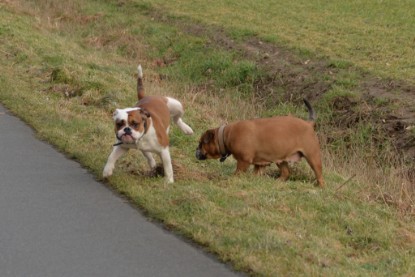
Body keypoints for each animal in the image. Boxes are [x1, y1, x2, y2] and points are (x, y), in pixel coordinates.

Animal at [197, 98, 326, 185]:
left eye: (201, 143)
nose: (196, 150)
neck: (225, 136)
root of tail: (308, 124)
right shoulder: (260, 164)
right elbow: (255, 173)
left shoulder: (243, 161)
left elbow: (238, 172)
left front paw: (232, 178)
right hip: (280, 159)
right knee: (286, 172)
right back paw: (277, 182)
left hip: (313, 157)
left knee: (319, 175)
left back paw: (319, 187)